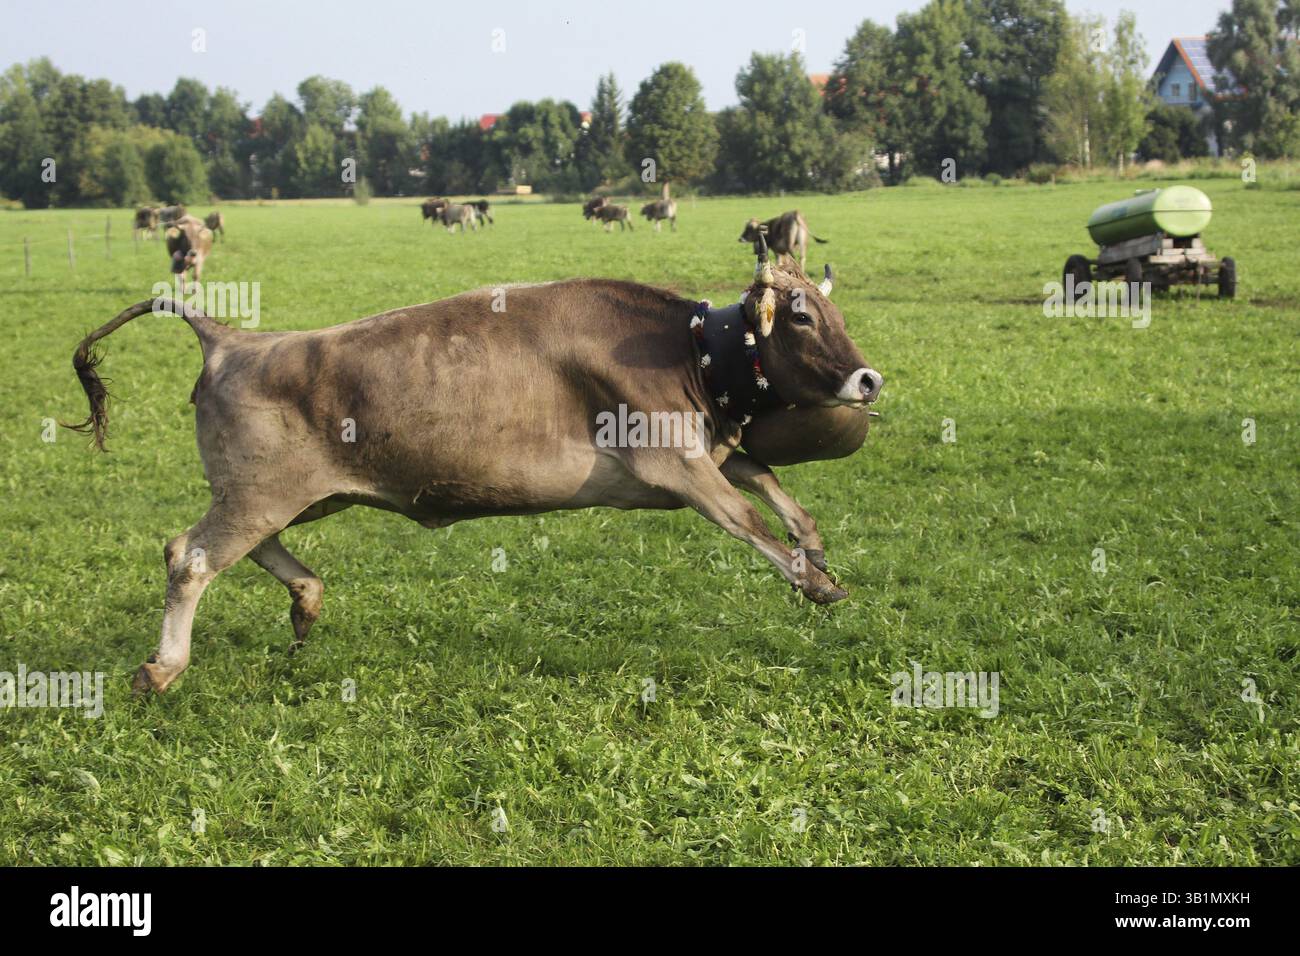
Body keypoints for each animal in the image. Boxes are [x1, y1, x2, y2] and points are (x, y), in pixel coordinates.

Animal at [64, 236, 882, 695]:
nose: (869, 380)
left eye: (836, 313)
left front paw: (815, 549)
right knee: (190, 556)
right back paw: (163, 667)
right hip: (259, 491)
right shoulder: (672, 461)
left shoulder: (704, 452)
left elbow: (769, 482)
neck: (689, 350)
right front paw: (814, 584)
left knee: (232, 547)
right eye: (801, 316)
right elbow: (746, 517)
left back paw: (306, 598)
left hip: (282, 493)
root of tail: (231, 337)